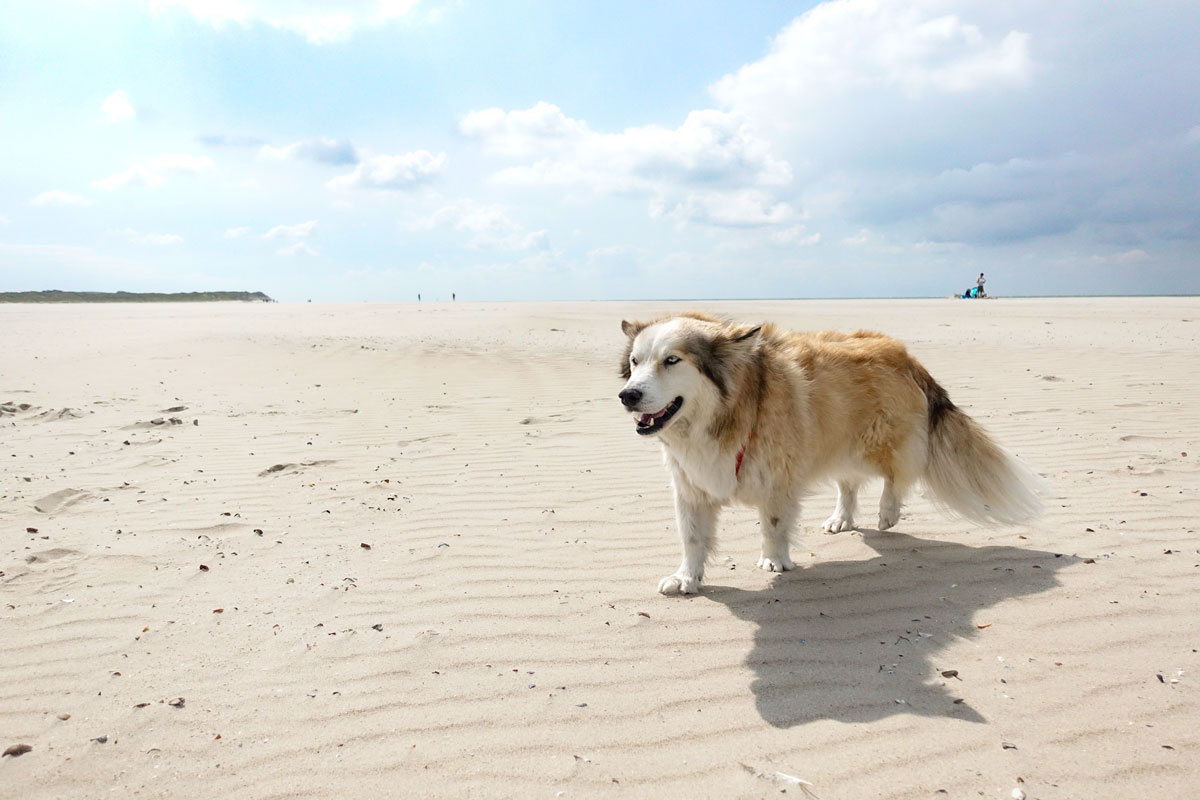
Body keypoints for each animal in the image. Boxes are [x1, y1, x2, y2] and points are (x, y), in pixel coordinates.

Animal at [619, 311, 1041, 594]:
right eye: (635, 362)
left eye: (672, 360)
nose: (627, 395)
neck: (729, 411)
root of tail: (904, 353)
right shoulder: (690, 488)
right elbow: (692, 537)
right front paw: (686, 577)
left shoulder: (778, 481)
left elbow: (773, 524)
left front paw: (774, 560)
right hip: (837, 440)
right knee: (848, 484)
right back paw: (842, 518)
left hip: (878, 441)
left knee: (900, 474)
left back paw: (888, 513)